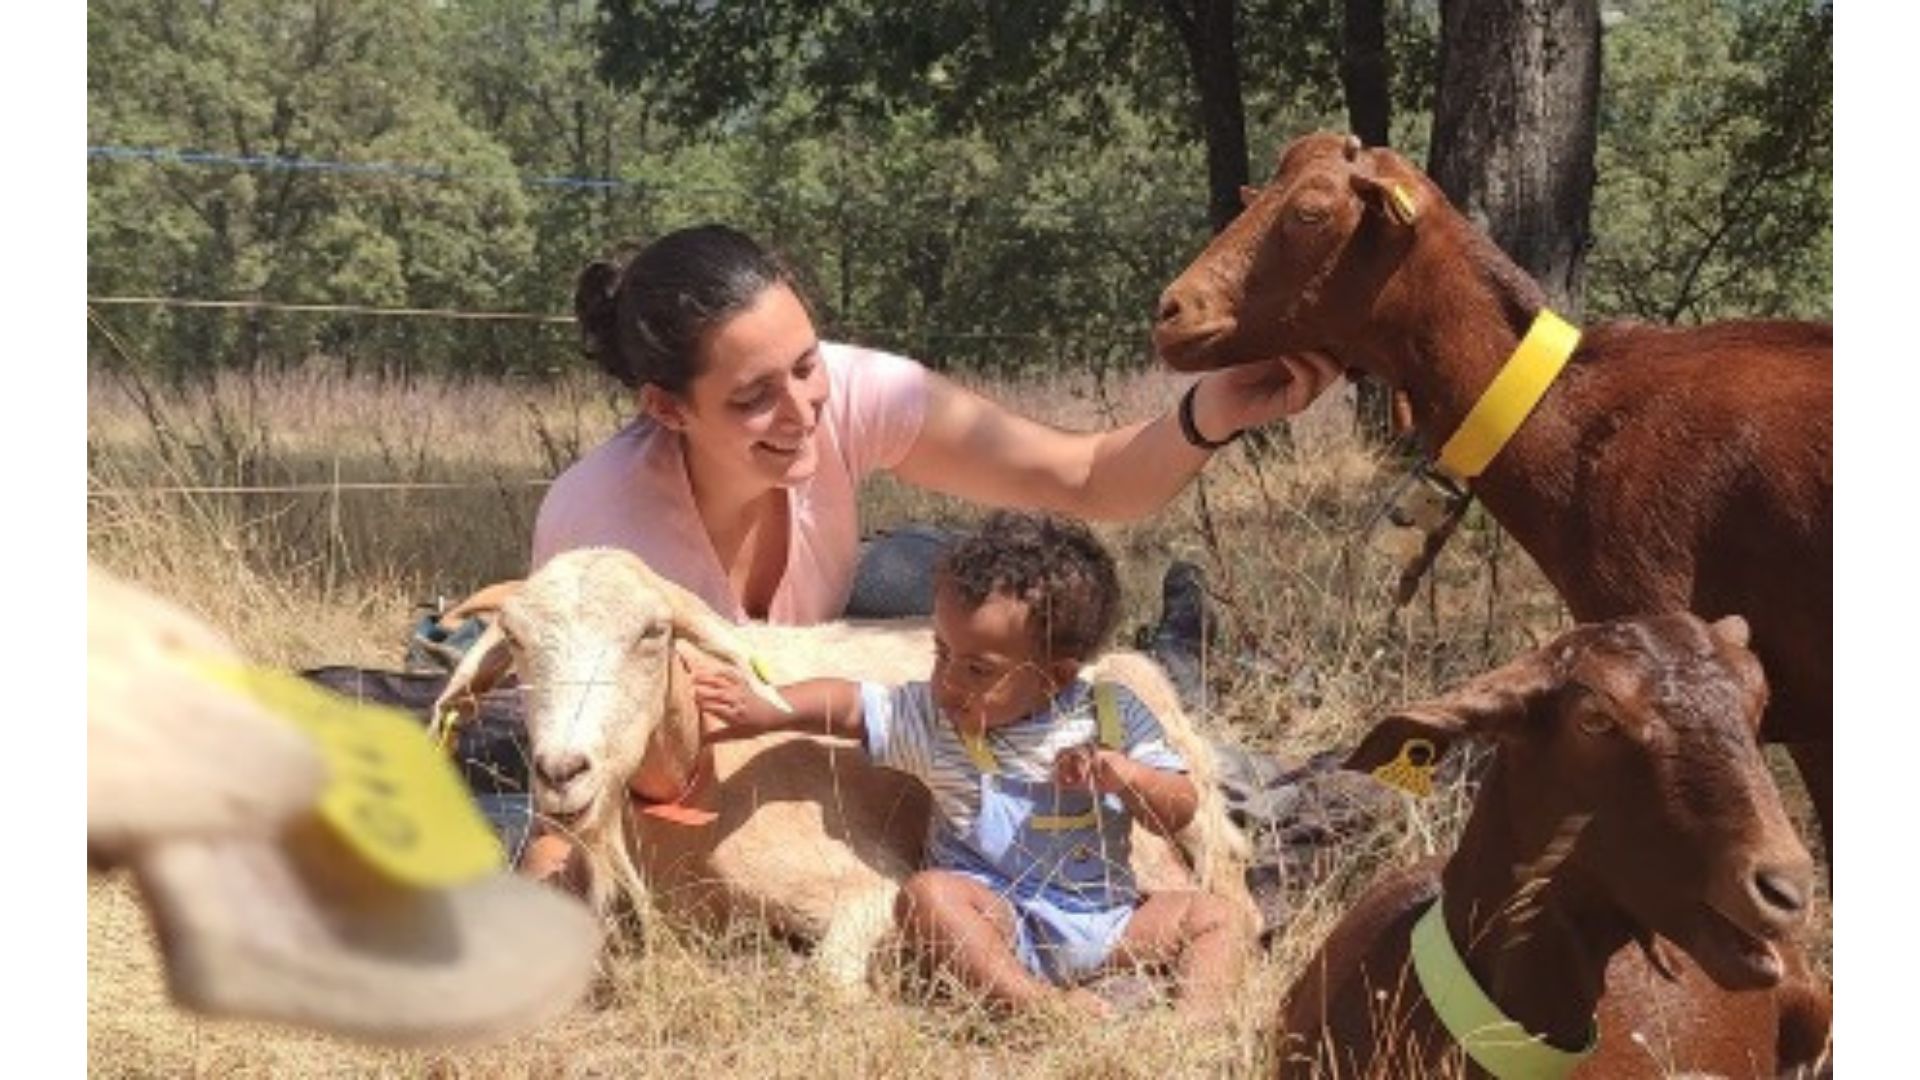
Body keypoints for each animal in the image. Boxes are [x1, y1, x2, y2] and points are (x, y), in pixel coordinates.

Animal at [435, 549, 1259, 991]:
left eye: (652, 633)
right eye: (514, 640)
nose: (562, 770)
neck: (696, 778)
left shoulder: (871, 881)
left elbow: (831, 979)